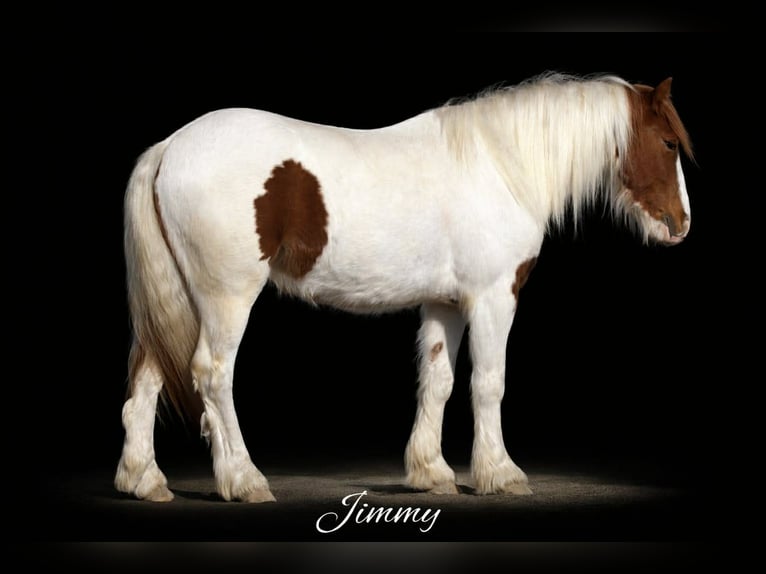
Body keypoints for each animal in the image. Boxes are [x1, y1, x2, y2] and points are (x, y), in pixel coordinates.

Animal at [115, 72, 693, 503]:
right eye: (668, 143)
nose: (681, 225)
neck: (501, 166)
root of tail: (171, 147)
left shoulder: (445, 302)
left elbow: (437, 381)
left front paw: (432, 473)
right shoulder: (494, 297)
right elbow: (489, 383)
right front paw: (500, 473)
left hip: (176, 296)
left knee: (148, 375)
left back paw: (145, 480)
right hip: (227, 296)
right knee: (213, 375)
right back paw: (243, 479)